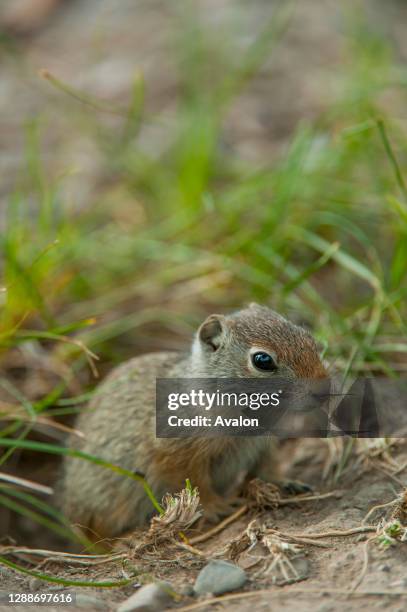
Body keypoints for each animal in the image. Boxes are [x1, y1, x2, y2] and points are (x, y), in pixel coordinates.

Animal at [61, 304, 328, 536]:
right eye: (262, 360)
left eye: (308, 337)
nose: (323, 389)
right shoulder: (177, 455)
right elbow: (196, 485)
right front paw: (217, 507)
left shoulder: (263, 446)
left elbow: (266, 469)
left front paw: (286, 483)